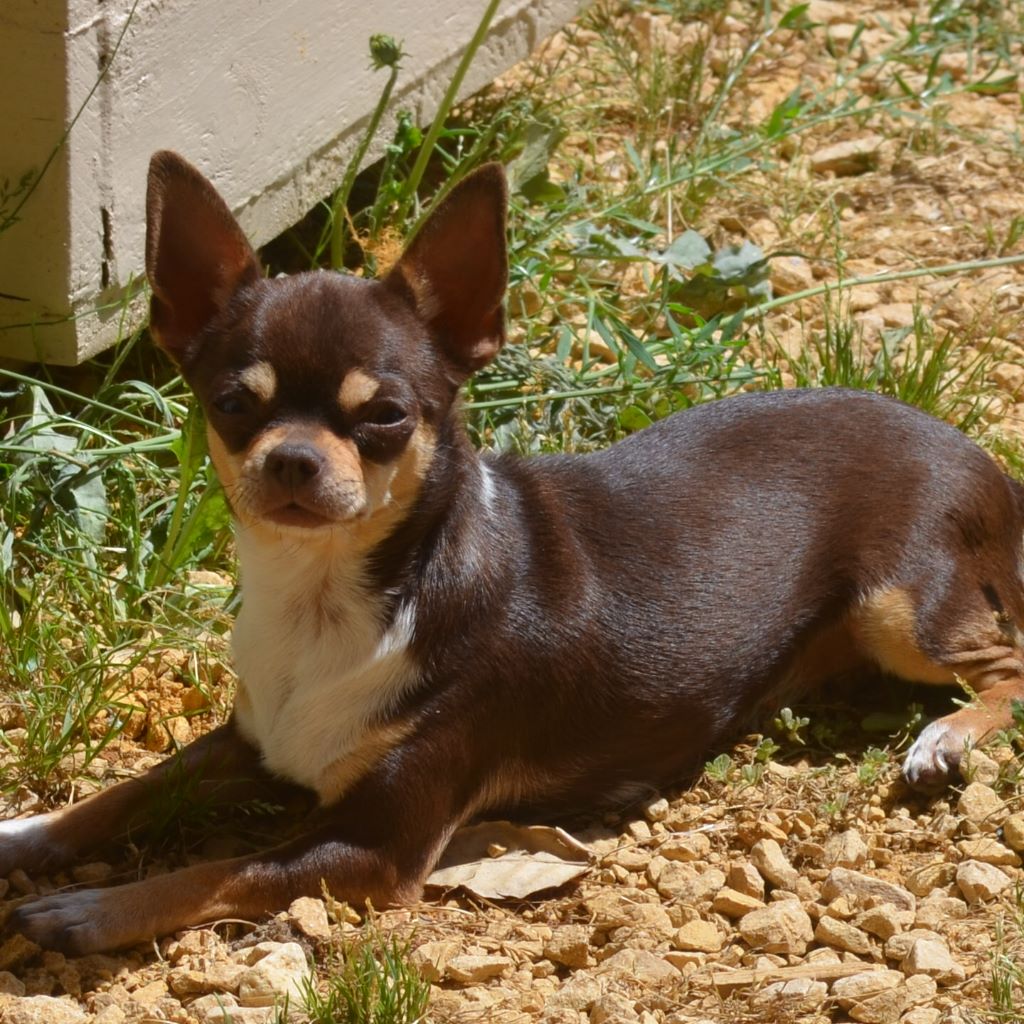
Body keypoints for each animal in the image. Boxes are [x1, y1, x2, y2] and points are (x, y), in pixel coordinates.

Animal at [2, 151, 1024, 950]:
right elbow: (122, 795)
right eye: (230, 404)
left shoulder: (374, 845)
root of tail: (983, 458)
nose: (291, 457)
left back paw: (944, 738)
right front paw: (26, 834)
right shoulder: (250, 746)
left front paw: (88, 909)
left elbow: (212, 870)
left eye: (385, 415)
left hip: (900, 611)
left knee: (1005, 663)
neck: (330, 599)